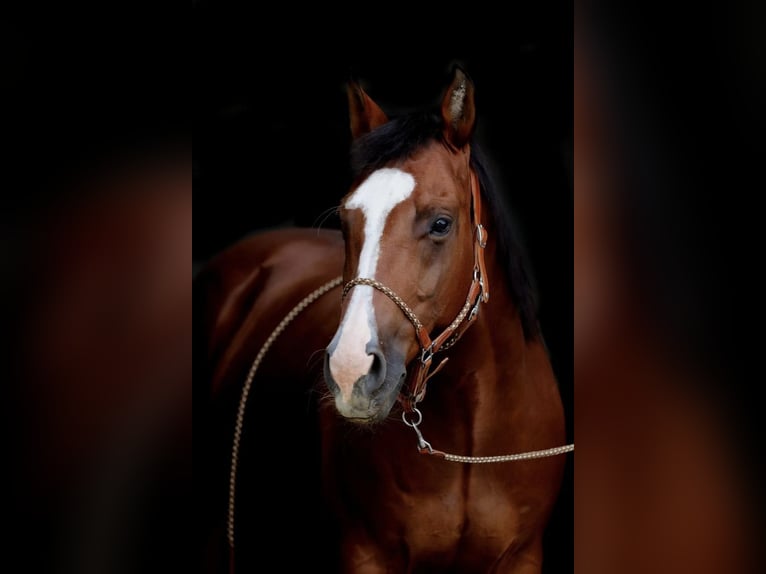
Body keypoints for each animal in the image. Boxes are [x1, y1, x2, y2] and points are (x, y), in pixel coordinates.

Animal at [197, 67, 571, 573]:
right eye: (344, 221)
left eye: (440, 223)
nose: (350, 371)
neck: (469, 450)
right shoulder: (366, 554)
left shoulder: (522, 557)